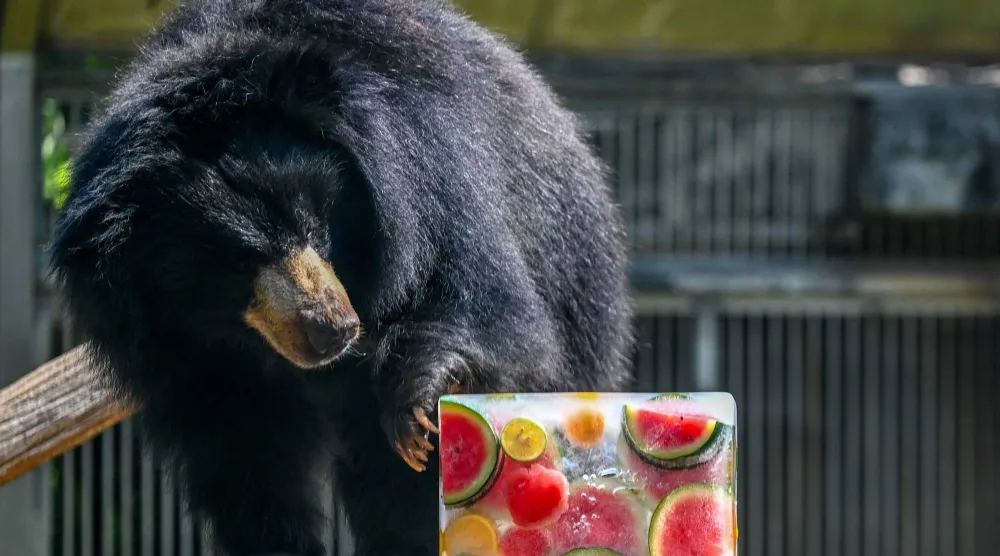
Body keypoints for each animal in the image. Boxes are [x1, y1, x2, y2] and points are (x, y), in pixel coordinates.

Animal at [48, 0, 634, 554]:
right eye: (237, 264)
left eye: (313, 223)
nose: (333, 329)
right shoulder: (184, 355)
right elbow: (243, 448)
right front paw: (280, 543)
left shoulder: (427, 168)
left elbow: (493, 313)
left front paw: (421, 400)